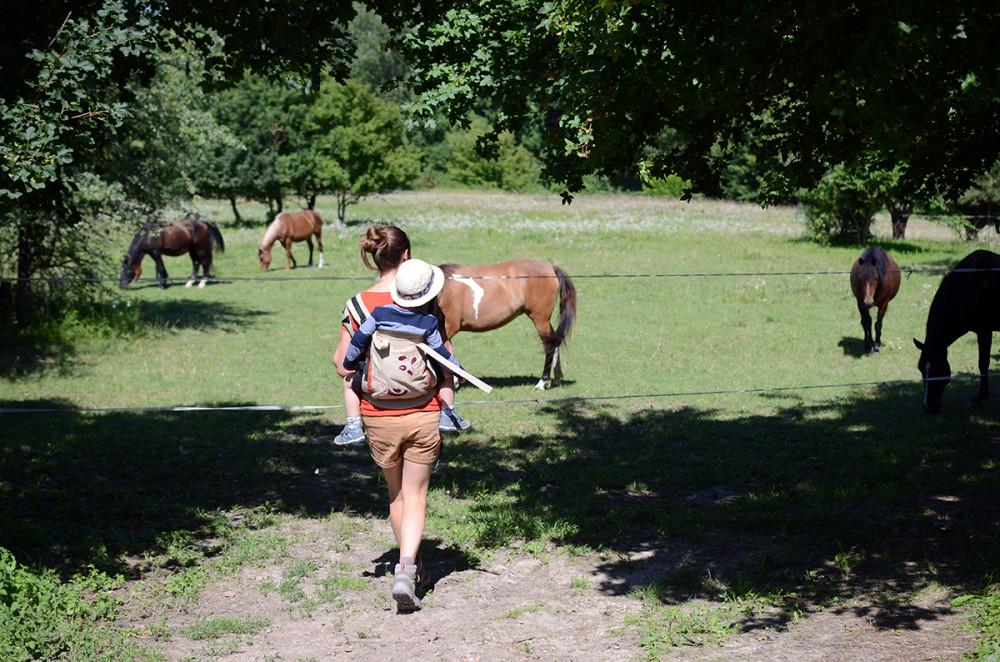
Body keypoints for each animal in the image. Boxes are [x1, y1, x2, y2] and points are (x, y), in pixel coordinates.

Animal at [438, 260, 580, 392]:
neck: (443, 290)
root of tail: (551, 267)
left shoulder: (449, 327)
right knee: (555, 341)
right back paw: (556, 379)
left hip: (540, 319)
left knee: (549, 344)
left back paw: (542, 382)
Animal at [916, 250, 1000, 416]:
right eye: (920, 368)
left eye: (937, 369)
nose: (928, 407)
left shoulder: (984, 331)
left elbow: (983, 364)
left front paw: (979, 398)